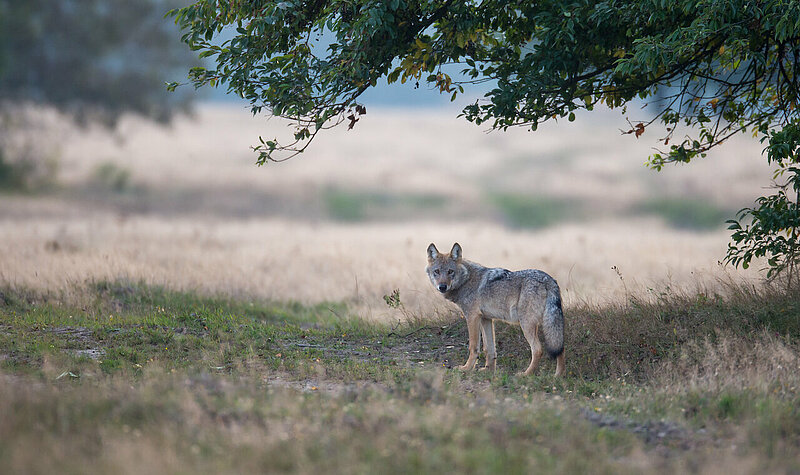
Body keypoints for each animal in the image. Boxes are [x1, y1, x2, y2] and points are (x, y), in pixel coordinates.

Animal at [428, 244, 564, 378]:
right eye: (437, 271)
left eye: (450, 271)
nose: (442, 287)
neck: (466, 279)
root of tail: (548, 279)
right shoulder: (486, 319)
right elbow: (489, 349)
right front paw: (488, 370)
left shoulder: (472, 317)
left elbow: (473, 347)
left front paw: (466, 368)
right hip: (552, 325)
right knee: (559, 347)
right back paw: (558, 376)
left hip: (527, 324)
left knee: (538, 350)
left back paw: (526, 374)